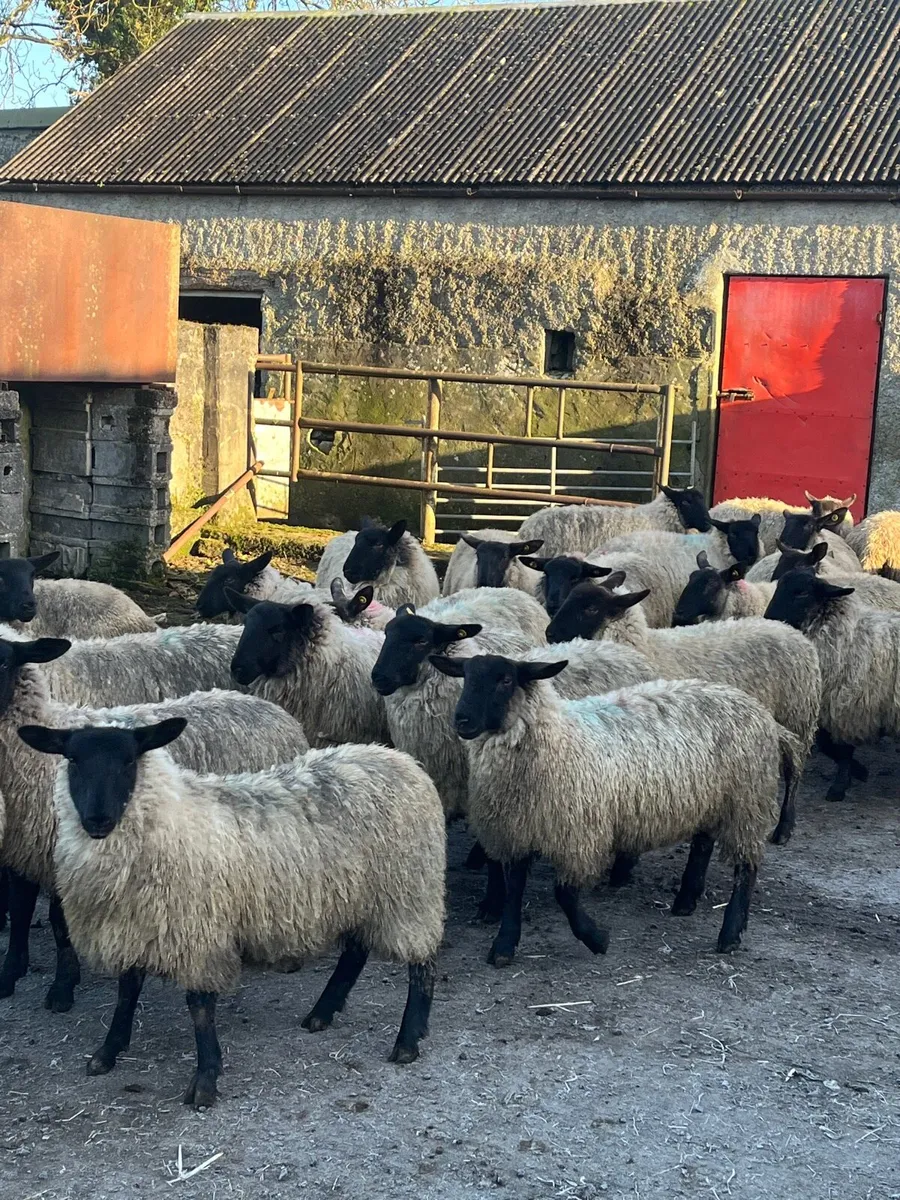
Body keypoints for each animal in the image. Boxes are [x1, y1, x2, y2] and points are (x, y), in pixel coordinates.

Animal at [0, 633, 311, 1013]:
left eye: (3, 662)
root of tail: (275, 711)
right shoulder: (24, 846)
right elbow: (19, 909)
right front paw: (10, 973)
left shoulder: (61, 851)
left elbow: (60, 923)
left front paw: (62, 988)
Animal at [28, 725, 445, 1105]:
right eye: (73, 760)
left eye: (129, 760)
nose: (97, 820)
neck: (167, 820)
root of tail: (398, 758)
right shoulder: (136, 927)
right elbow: (126, 993)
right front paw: (108, 1051)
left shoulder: (198, 933)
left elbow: (199, 1008)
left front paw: (205, 1080)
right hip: (359, 895)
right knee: (356, 952)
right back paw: (322, 1013)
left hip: (410, 893)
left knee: (421, 963)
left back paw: (408, 1039)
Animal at [431, 654, 793, 963]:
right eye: (465, 676)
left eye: (505, 680)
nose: (461, 720)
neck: (556, 741)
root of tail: (758, 709)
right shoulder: (518, 831)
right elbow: (514, 890)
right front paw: (504, 945)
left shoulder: (579, 836)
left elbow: (564, 895)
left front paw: (597, 939)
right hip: (709, 798)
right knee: (703, 844)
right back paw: (685, 901)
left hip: (747, 801)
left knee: (746, 868)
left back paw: (730, 933)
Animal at [548, 580, 821, 846]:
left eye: (590, 608)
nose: (549, 633)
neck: (646, 648)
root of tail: (791, 631)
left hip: (798, 715)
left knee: (794, 769)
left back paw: (784, 827)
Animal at [764, 570, 900, 801]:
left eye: (802, 592)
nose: (767, 621)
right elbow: (831, 749)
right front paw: (857, 772)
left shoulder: (847, 707)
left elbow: (838, 749)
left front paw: (841, 785)